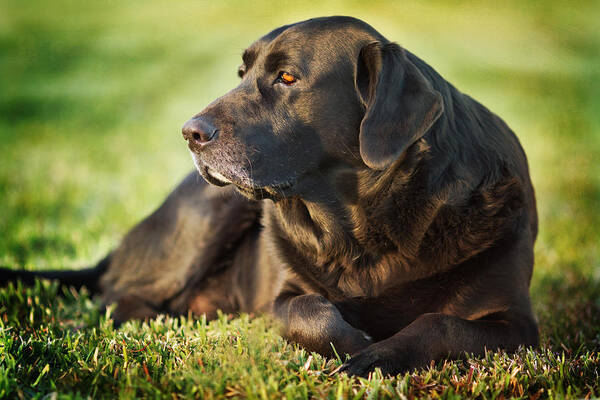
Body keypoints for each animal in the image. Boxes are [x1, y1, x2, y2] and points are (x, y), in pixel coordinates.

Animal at [0, 16, 536, 378]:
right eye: (241, 73)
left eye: (287, 78)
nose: (190, 132)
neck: (363, 225)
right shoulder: (282, 297)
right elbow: (311, 313)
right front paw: (353, 346)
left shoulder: (518, 326)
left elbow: (438, 324)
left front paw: (374, 356)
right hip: (213, 211)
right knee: (116, 296)